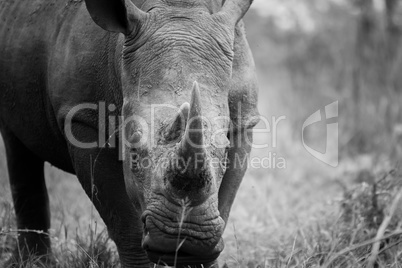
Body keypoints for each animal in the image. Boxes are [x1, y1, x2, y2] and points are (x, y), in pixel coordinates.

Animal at [0, 0, 258, 266]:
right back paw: (34, 261)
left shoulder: (243, 120)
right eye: (132, 148)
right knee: (16, 143)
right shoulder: (85, 119)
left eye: (225, 149)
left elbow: (223, 203)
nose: (183, 242)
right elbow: (125, 222)